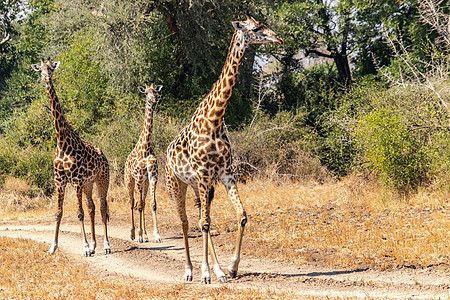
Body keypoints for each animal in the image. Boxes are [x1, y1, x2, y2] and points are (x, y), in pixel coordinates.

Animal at [31, 58, 111, 255]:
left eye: (51, 69)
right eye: (40, 70)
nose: (47, 79)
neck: (62, 142)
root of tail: (104, 156)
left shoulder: (75, 180)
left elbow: (79, 213)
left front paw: (84, 247)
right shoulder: (59, 180)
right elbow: (58, 213)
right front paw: (52, 247)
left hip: (102, 180)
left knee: (103, 208)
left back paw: (106, 245)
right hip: (88, 183)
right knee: (92, 207)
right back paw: (94, 245)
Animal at [163, 13, 284, 284]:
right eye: (256, 28)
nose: (278, 39)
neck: (215, 118)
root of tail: (165, 153)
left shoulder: (225, 173)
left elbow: (241, 215)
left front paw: (231, 268)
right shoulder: (203, 174)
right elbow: (205, 224)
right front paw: (206, 273)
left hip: (201, 187)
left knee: (199, 218)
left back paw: (215, 270)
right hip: (177, 183)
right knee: (186, 222)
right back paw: (189, 271)